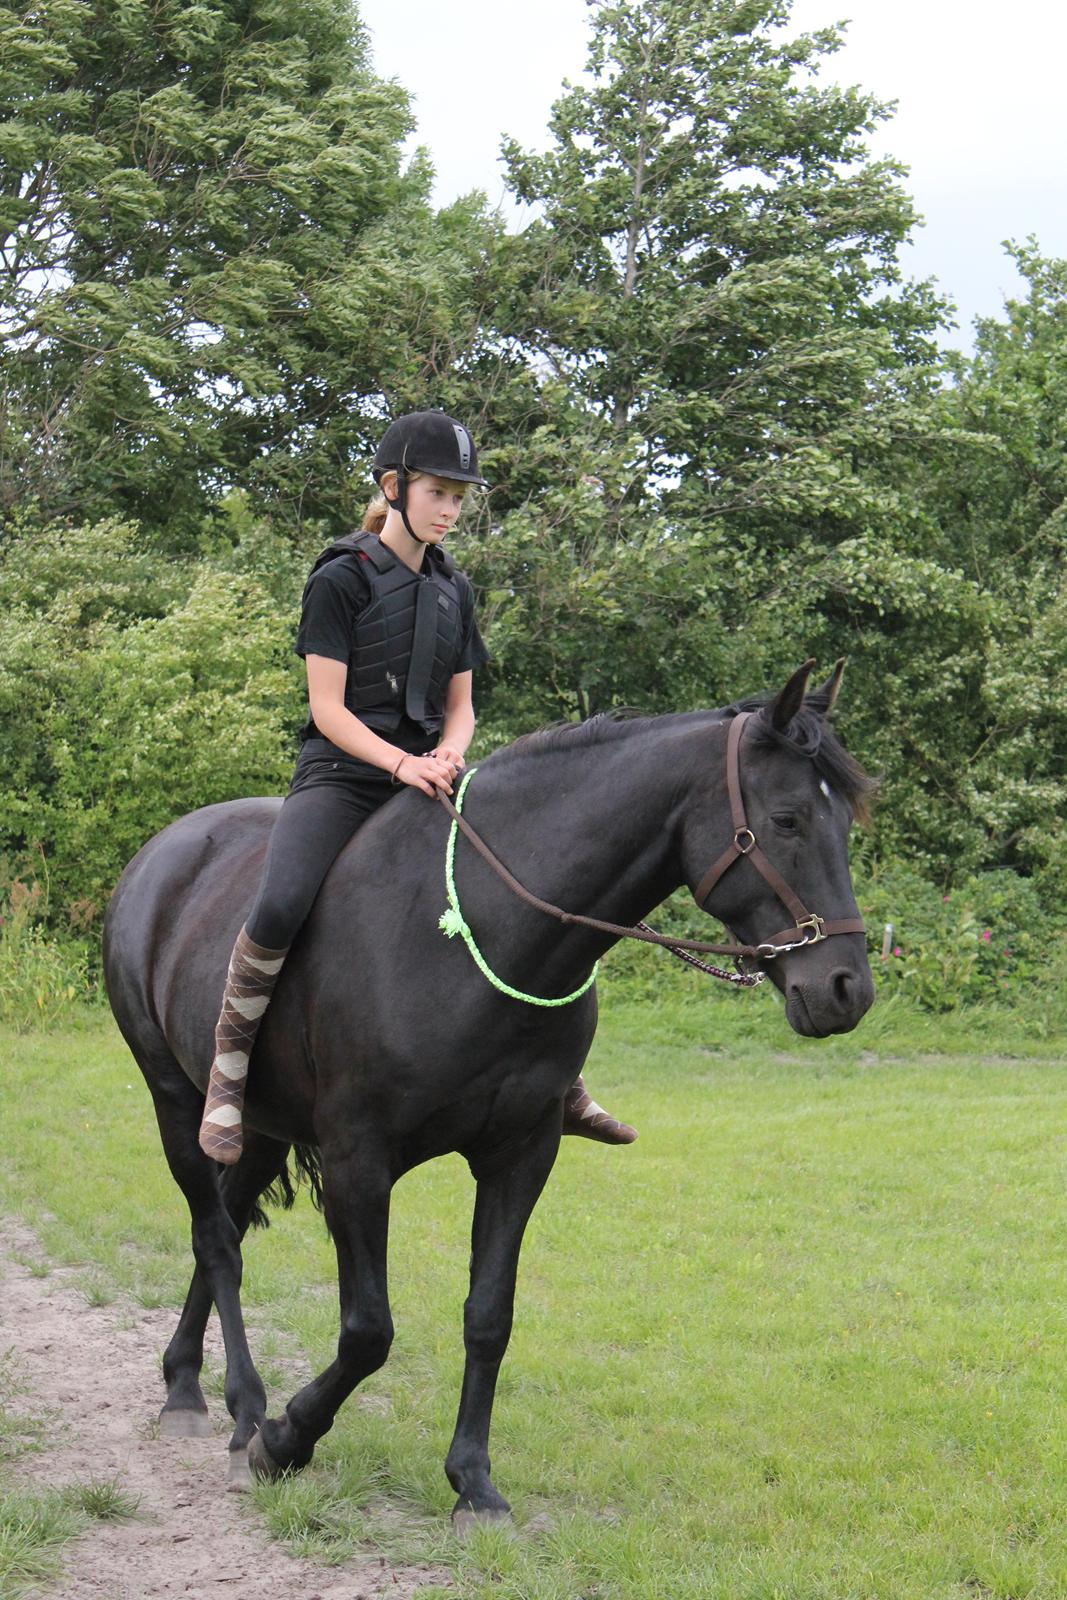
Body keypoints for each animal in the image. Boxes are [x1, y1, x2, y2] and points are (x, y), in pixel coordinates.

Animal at [102, 662, 876, 1523]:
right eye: (785, 820)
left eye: (842, 820)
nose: (843, 989)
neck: (484, 928)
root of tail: (160, 855)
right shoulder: (357, 1161)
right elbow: (367, 1330)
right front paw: (287, 1440)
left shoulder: (520, 1154)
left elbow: (488, 1317)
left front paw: (471, 1480)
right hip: (176, 1099)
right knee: (215, 1238)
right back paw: (236, 1410)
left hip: (258, 1129)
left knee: (226, 1229)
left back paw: (186, 1382)